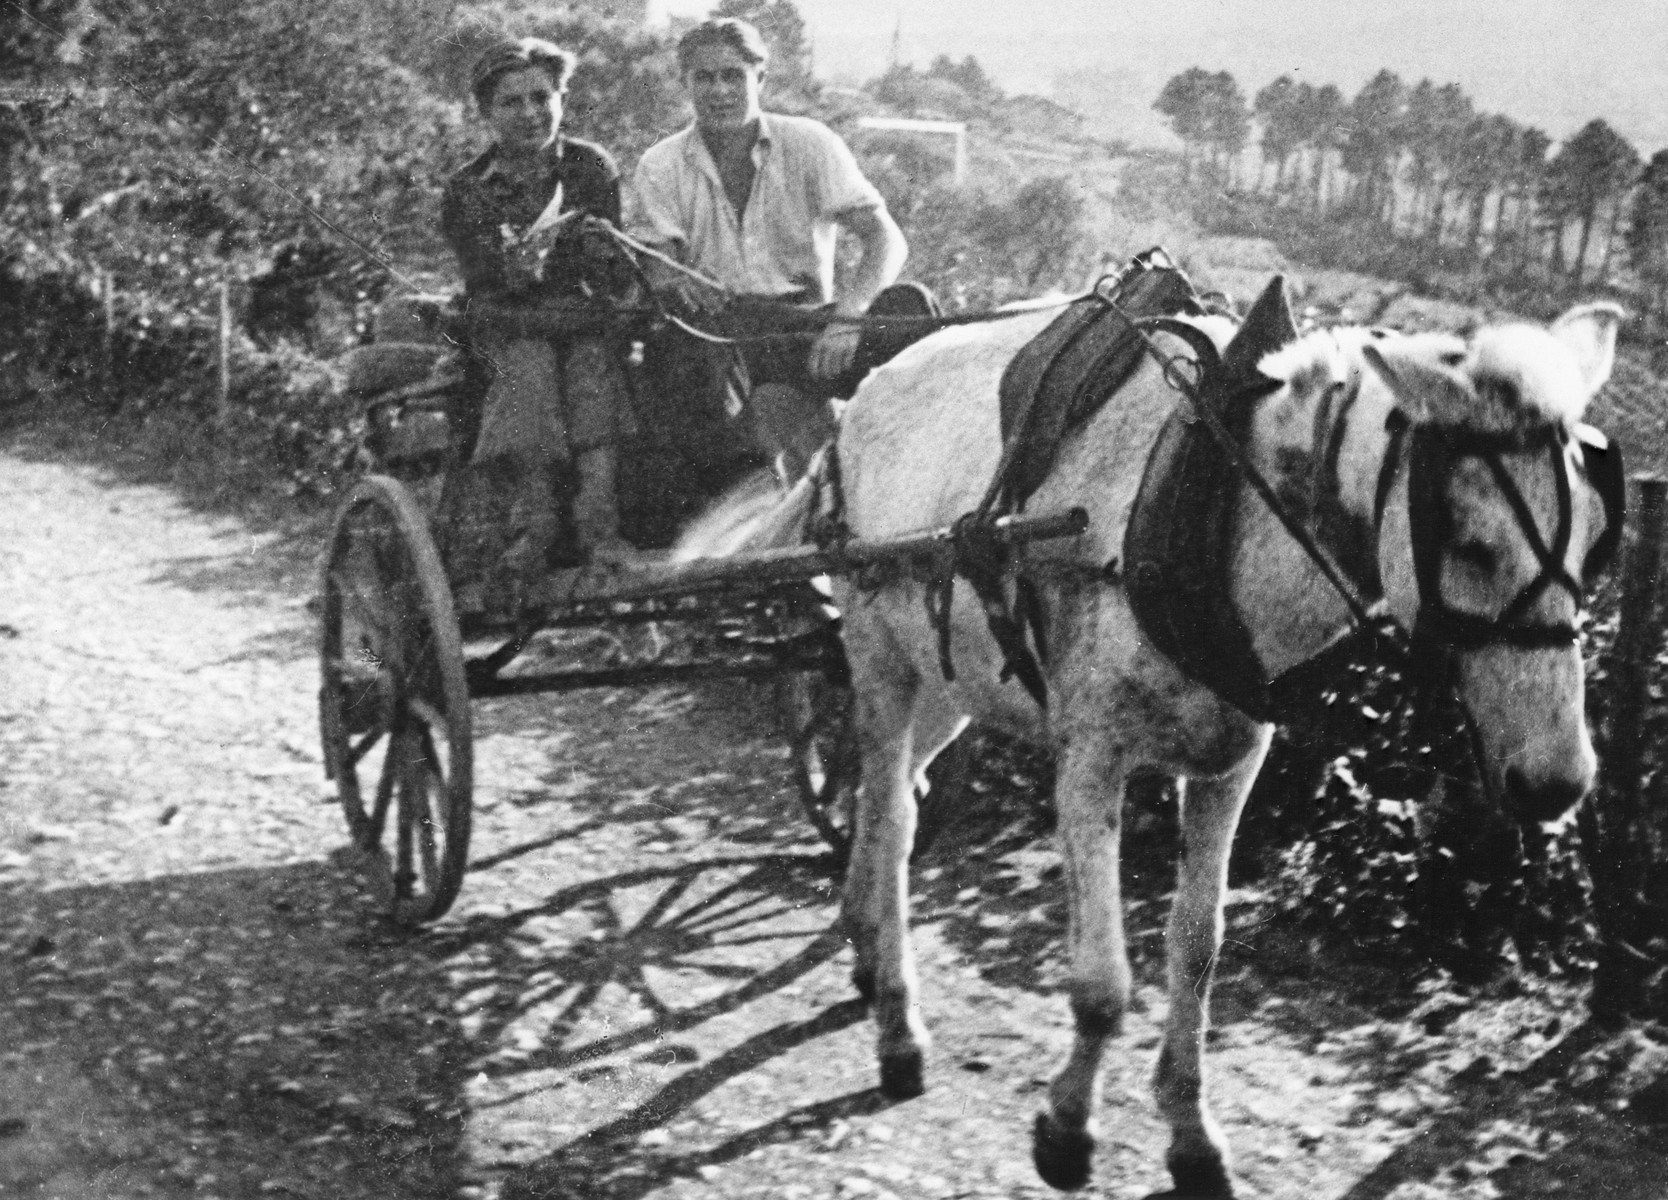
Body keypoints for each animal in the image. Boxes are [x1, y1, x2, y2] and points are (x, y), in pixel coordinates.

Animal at [683, 283, 1621, 1200]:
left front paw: (1191, 1131)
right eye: (1469, 544)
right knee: (887, 809)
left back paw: (865, 939)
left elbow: (1198, 949)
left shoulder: (1232, 765)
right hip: (879, 657)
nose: (1557, 780)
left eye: (1592, 542)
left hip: (950, 677)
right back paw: (897, 1021)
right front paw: (1067, 1128)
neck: (1218, 506)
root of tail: (860, 396)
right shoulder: (1089, 763)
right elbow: (1102, 985)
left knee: (897, 795)